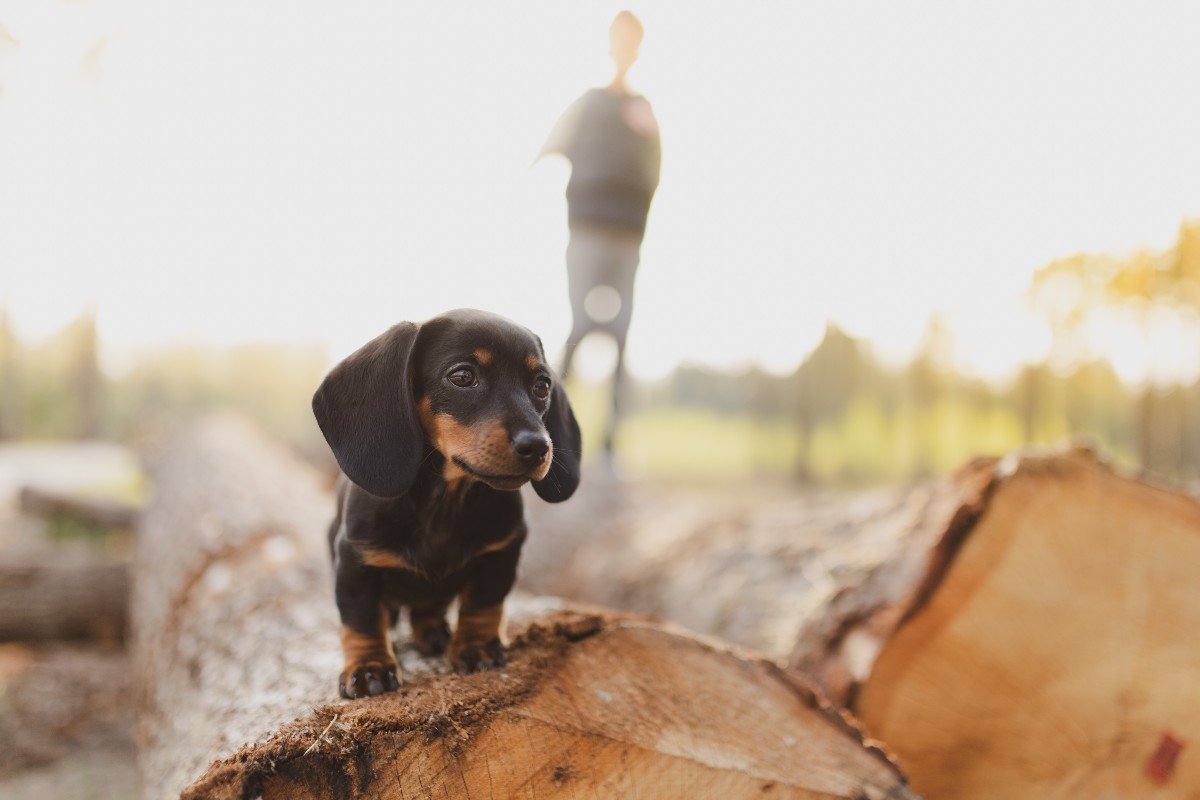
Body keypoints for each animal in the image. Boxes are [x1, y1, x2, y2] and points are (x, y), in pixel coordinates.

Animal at [312, 309, 578, 695]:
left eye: (542, 385)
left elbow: (484, 604)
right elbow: (361, 619)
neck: (445, 501)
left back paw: (434, 631)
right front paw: (369, 667)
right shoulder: (355, 561)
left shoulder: (502, 553)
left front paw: (477, 646)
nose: (538, 447)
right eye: (462, 376)